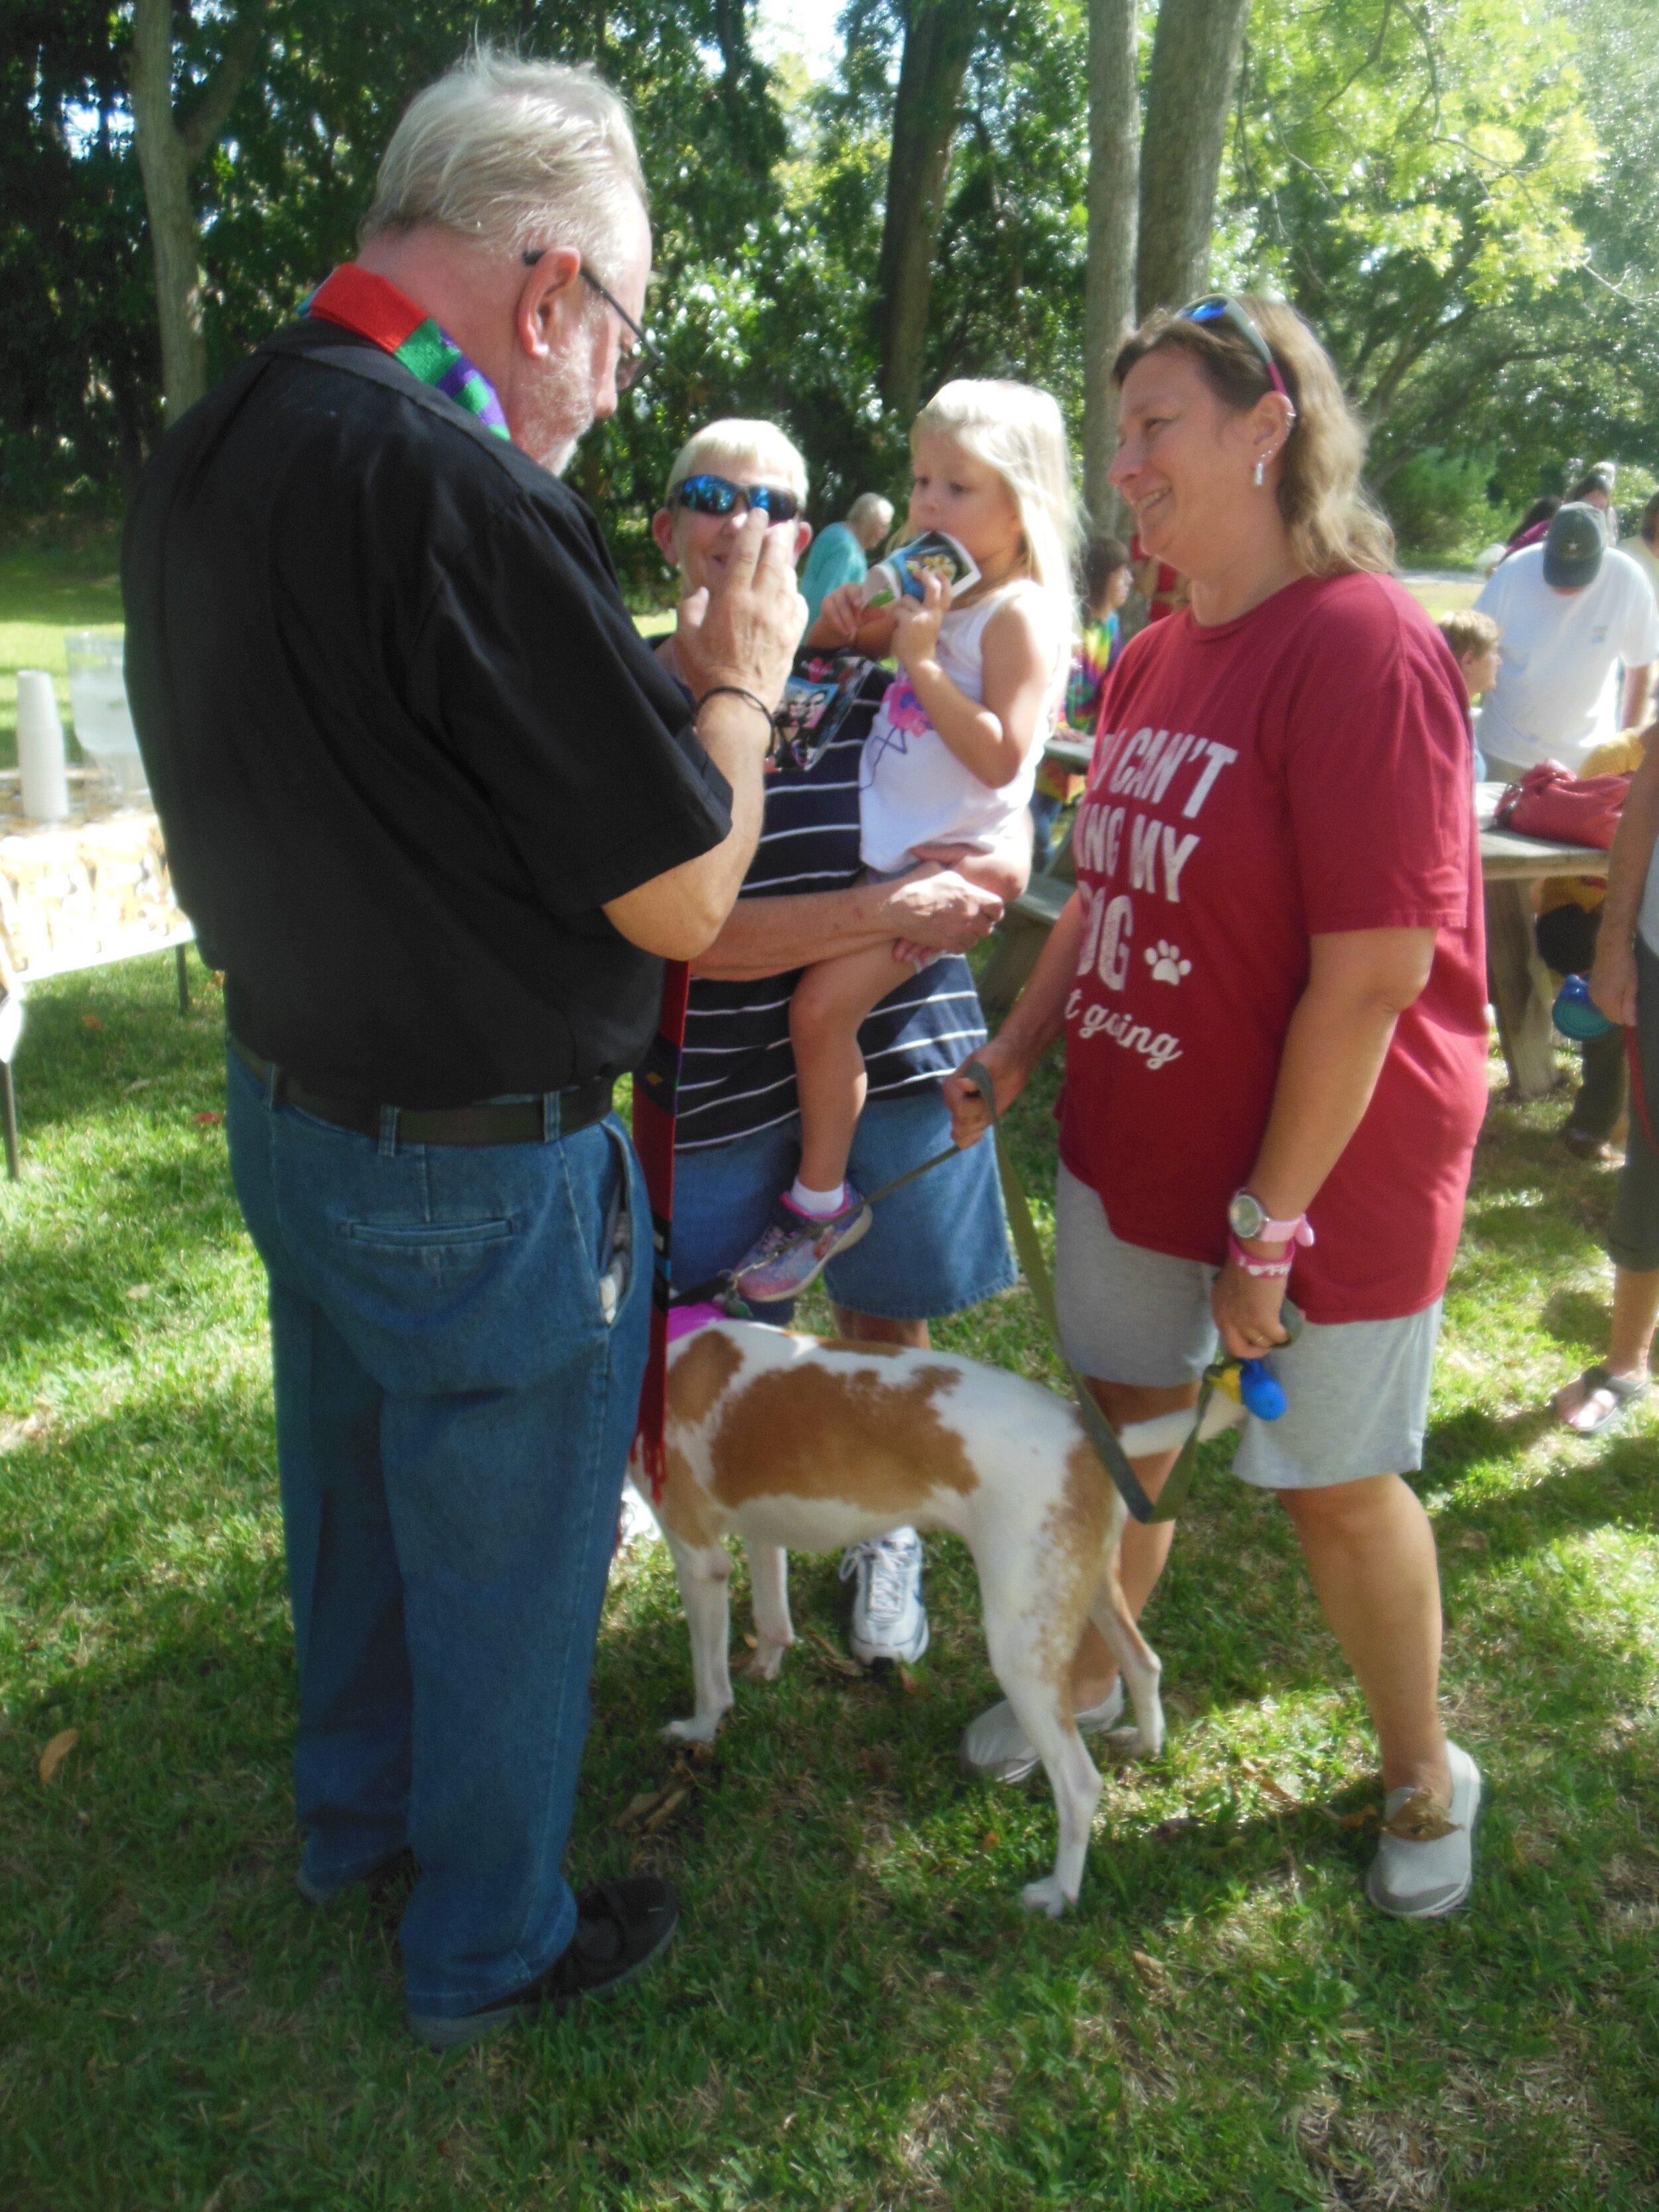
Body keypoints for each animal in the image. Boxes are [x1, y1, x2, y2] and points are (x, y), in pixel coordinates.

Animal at [632, 1309, 1168, 1920]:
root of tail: (1084, 1433)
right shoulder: (761, 1530)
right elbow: (772, 1620)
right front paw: (764, 1669)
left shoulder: (698, 1560)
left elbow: (708, 1680)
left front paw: (699, 1730)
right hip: (1091, 1588)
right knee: (1144, 1663)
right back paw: (1146, 1745)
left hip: (1021, 1650)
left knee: (1079, 1784)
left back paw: (1058, 1893)